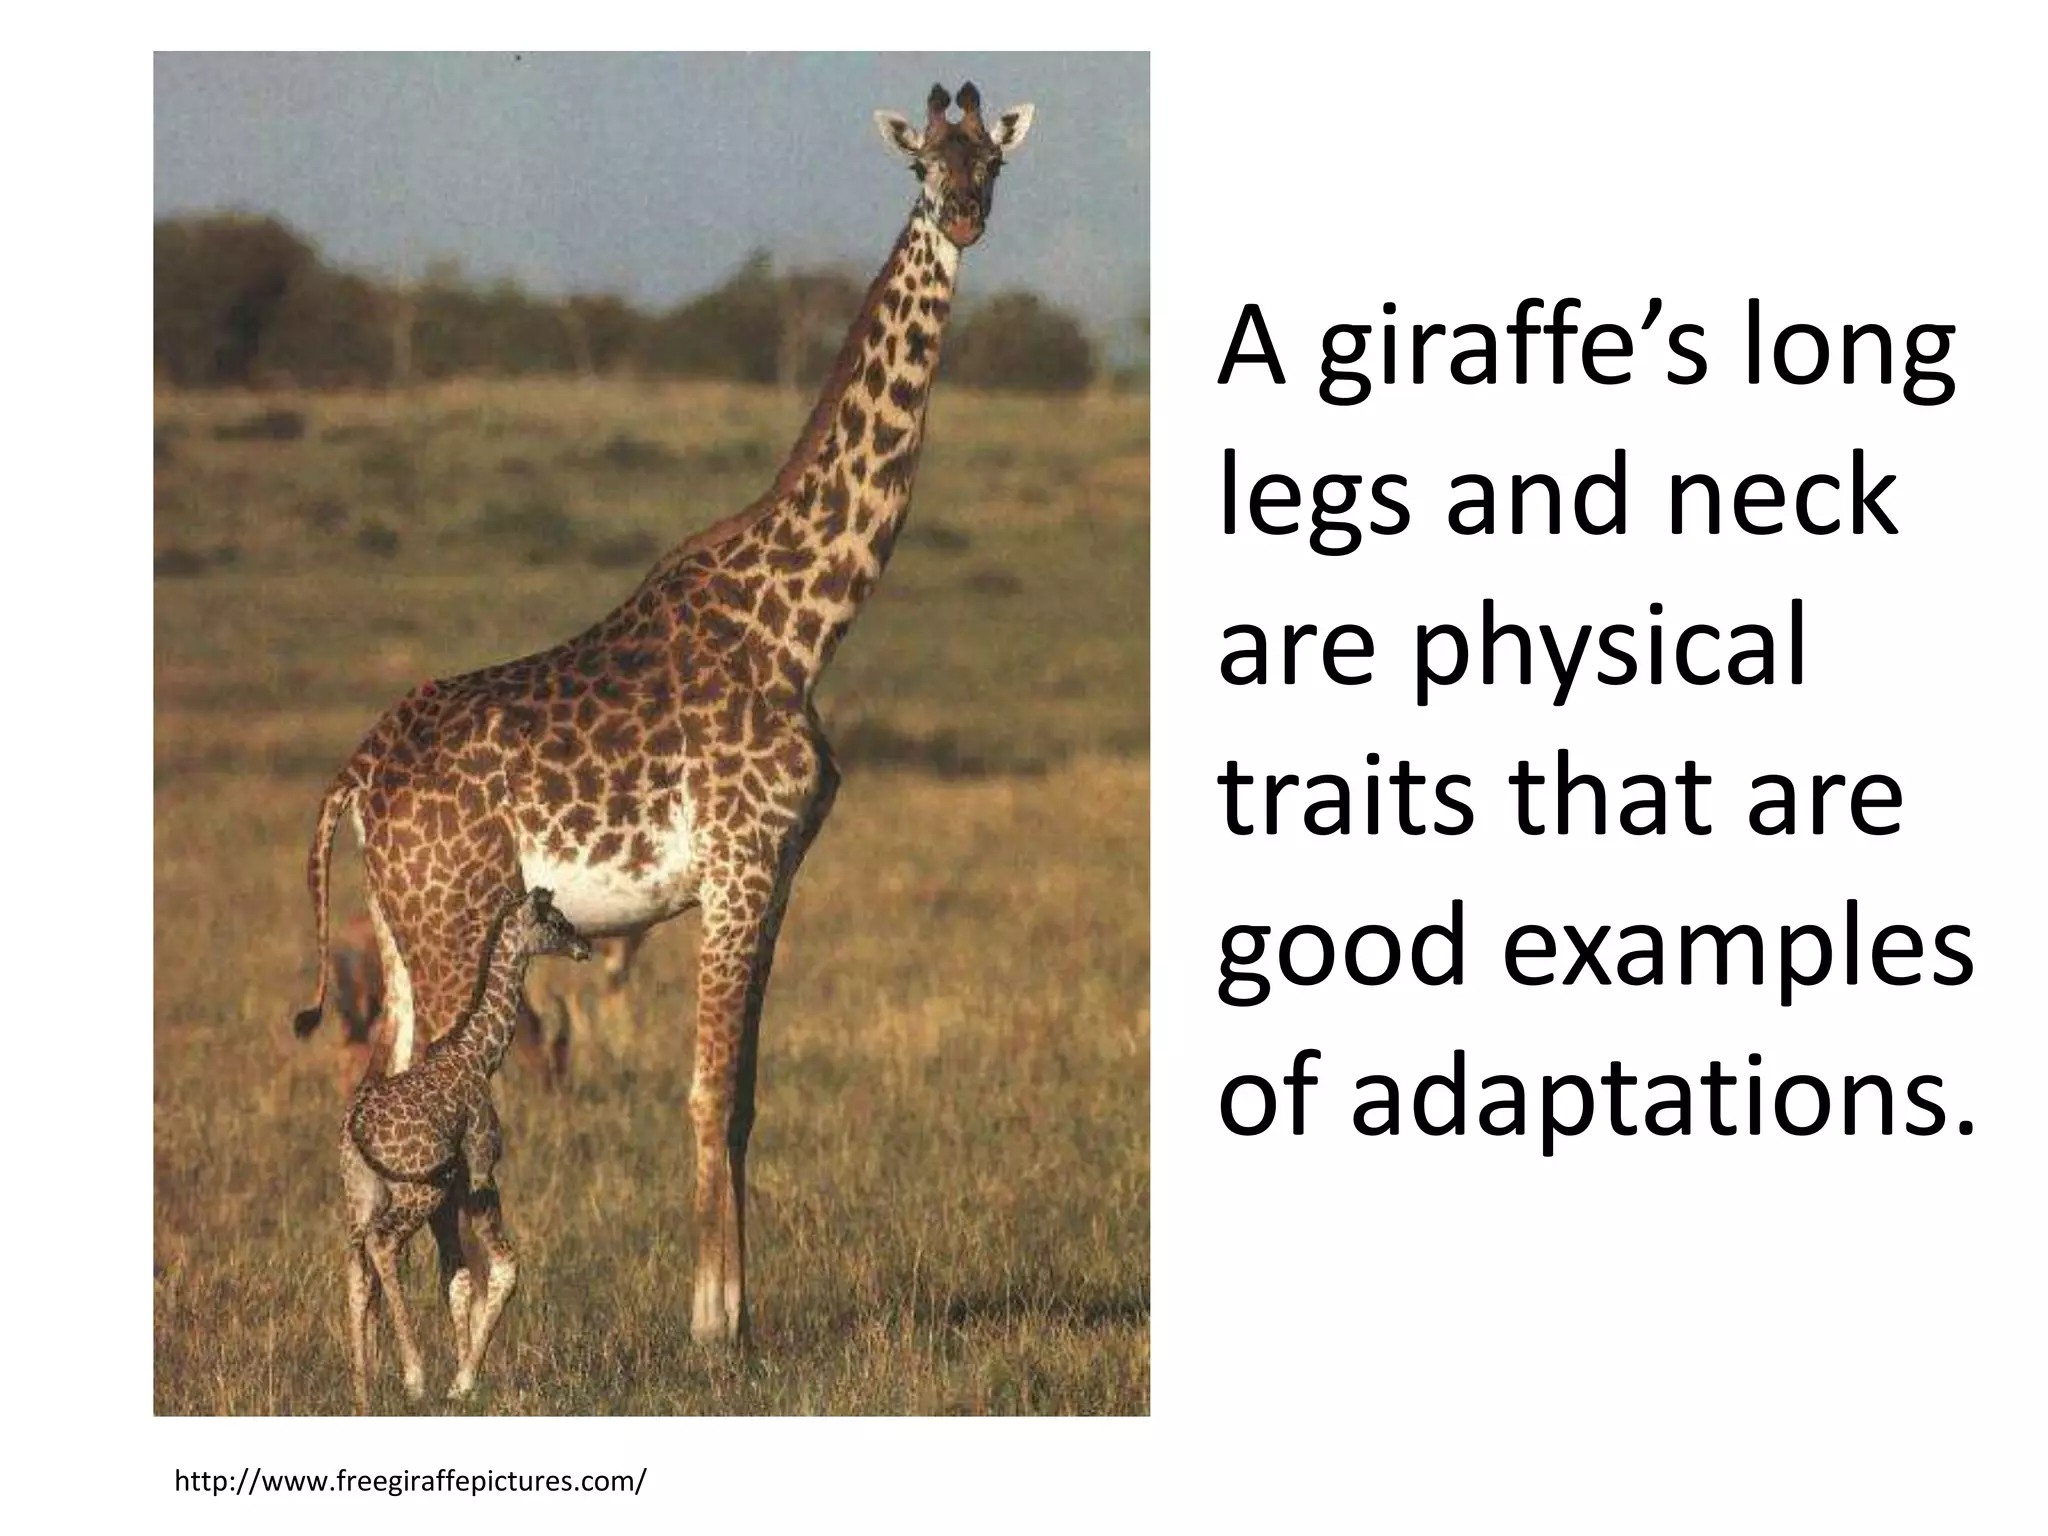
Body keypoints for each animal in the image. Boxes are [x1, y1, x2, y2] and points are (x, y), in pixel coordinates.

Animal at [291, 82, 1035, 1345]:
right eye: (921, 170)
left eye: (991, 163)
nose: (966, 218)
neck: (804, 622)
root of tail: (358, 776)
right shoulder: (734, 865)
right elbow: (704, 1089)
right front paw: (711, 1327)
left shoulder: (774, 874)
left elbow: (744, 1095)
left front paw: (738, 1312)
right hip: (450, 920)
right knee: (409, 1086)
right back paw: (452, 1332)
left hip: (398, 927)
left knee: (374, 1078)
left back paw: (384, 1348)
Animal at [341, 887, 591, 1412]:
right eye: (557, 921)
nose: (585, 947)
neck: (480, 1054)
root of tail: (356, 1127)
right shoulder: (479, 1166)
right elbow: (504, 1266)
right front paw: (462, 1382)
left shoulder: (455, 1190)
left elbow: (455, 1277)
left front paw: (460, 1378)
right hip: (419, 1190)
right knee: (383, 1244)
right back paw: (412, 1377)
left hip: (361, 1194)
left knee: (356, 1267)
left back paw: (362, 1390)